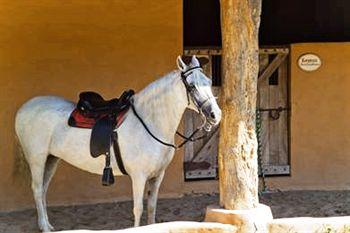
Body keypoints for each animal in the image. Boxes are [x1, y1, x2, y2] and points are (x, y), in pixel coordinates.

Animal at [15, 56, 221, 231]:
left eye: (209, 82)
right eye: (192, 86)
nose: (215, 115)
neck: (149, 121)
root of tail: (24, 109)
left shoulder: (157, 176)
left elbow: (152, 207)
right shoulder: (139, 176)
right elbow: (138, 209)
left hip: (51, 159)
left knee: (43, 190)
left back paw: (47, 224)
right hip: (37, 159)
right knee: (37, 189)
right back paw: (44, 226)